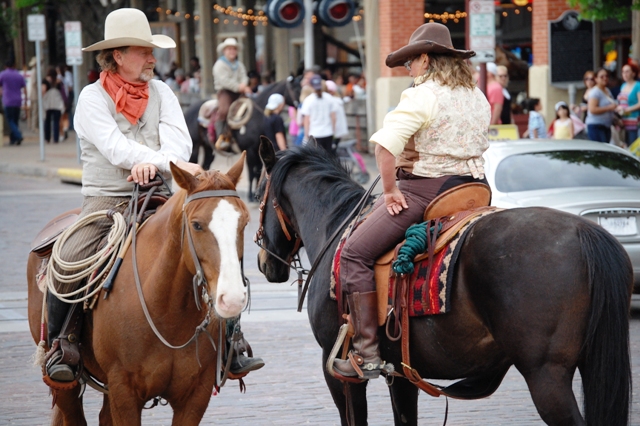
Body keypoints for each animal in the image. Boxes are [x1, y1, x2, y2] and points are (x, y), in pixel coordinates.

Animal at [28, 156, 252, 426]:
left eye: (245, 222)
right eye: (196, 225)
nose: (232, 299)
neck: (167, 312)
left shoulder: (196, 394)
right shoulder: (124, 391)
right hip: (65, 383)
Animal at [256, 141, 636, 426]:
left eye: (258, 193)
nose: (263, 263)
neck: (334, 226)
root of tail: (585, 233)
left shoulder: (338, 372)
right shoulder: (402, 375)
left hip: (547, 376)